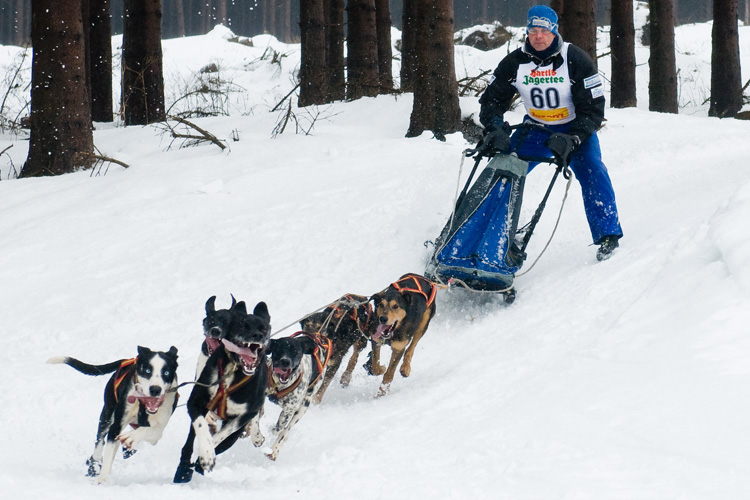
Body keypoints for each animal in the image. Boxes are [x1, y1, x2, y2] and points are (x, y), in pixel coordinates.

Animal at [48, 346, 181, 482]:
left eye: (166, 372)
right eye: (148, 370)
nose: (155, 389)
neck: (142, 404)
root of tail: (128, 360)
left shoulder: (157, 431)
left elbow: (148, 431)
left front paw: (131, 438)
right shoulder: (116, 426)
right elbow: (109, 451)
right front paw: (103, 479)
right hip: (107, 413)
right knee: (100, 440)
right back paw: (95, 464)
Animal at [174, 298, 274, 482]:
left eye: (264, 328)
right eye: (242, 325)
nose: (258, 336)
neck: (233, 369)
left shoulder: (243, 417)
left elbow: (221, 436)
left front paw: (206, 455)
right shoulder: (196, 402)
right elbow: (200, 427)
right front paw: (206, 454)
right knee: (190, 442)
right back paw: (184, 470)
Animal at [245, 332, 330, 460]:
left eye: (296, 351)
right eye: (279, 349)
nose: (285, 361)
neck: (278, 386)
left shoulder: (289, 409)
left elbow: (280, 428)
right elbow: (255, 420)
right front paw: (257, 438)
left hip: (304, 406)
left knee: (286, 431)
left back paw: (274, 450)